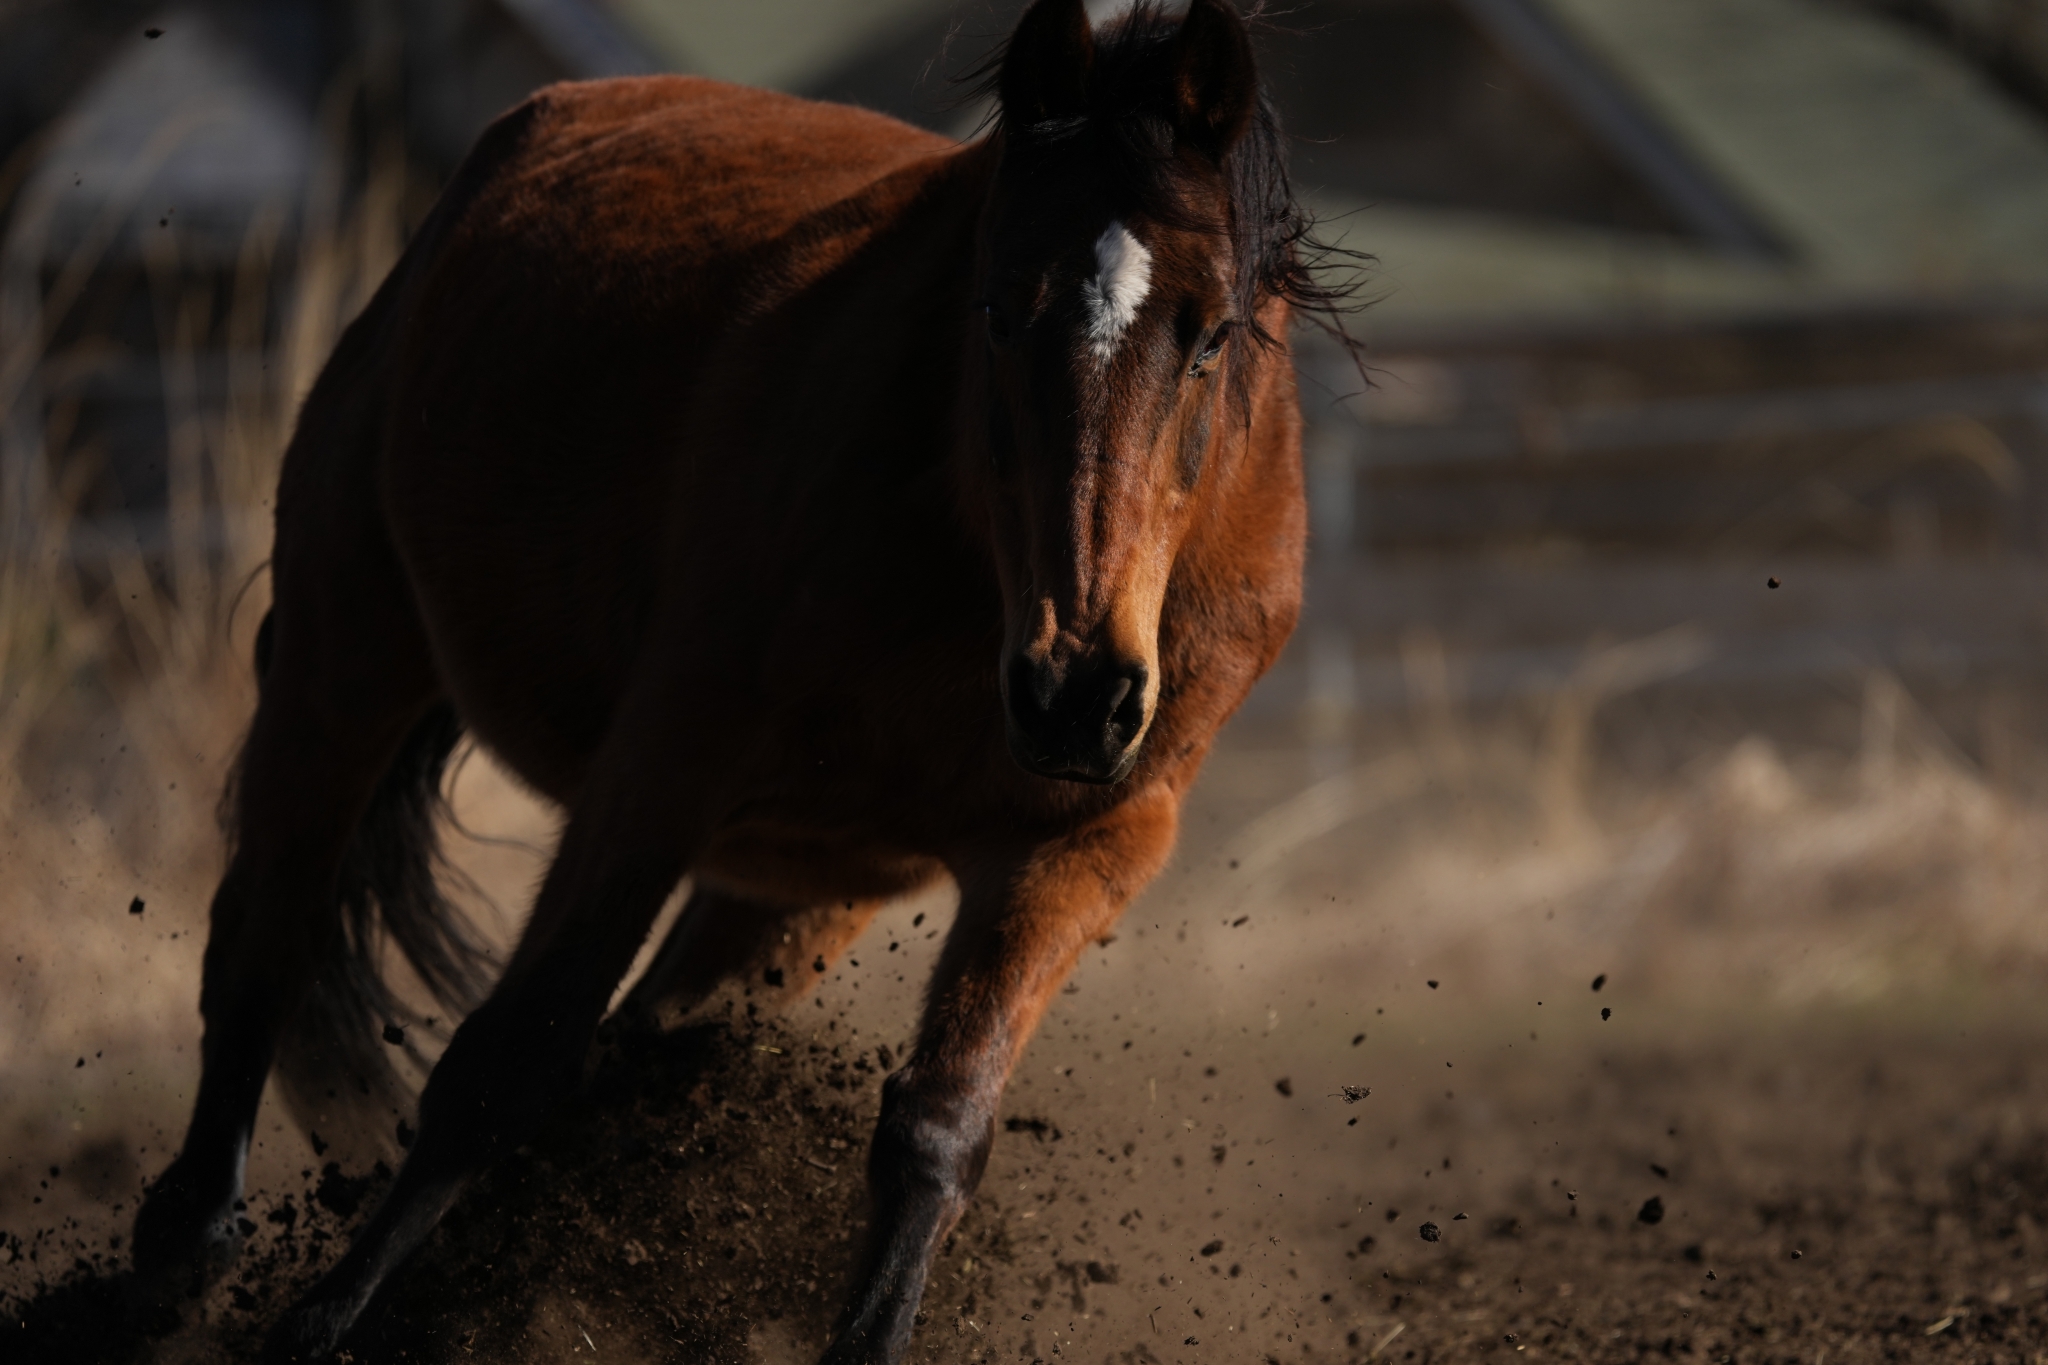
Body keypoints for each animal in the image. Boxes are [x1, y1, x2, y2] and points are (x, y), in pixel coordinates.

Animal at [126, 1, 1346, 1358]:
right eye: (993, 312)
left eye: (1212, 334)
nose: (1075, 695)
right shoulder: (661, 766)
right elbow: (507, 1058)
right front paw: (325, 1323)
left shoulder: (1074, 849)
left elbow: (936, 1130)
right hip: (348, 654)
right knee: (265, 936)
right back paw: (179, 1254)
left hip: (796, 890)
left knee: (629, 1049)